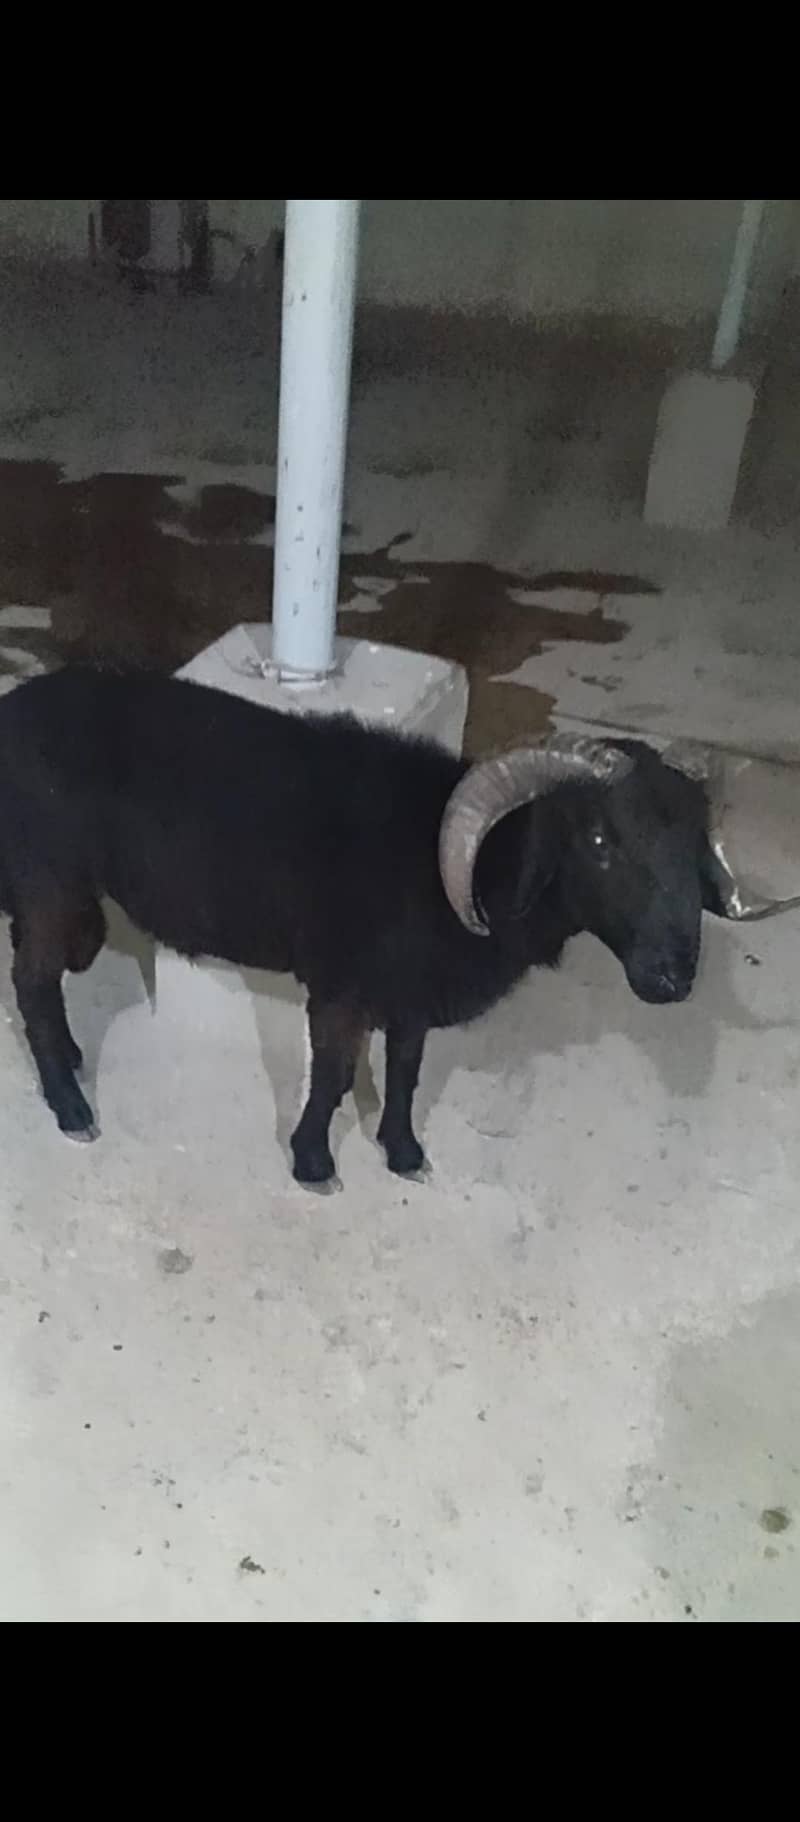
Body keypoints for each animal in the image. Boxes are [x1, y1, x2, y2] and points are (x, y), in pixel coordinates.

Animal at [0, 665, 784, 1189]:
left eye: (693, 846)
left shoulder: (413, 994)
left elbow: (406, 1072)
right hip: (47, 882)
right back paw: (71, 1106)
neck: (479, 872)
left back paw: (71, 1059)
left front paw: (404, 1152)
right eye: (598, 842)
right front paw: (313, 1163)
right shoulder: (340, 988)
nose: (672, 977)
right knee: (32, 984)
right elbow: (331, 1077)